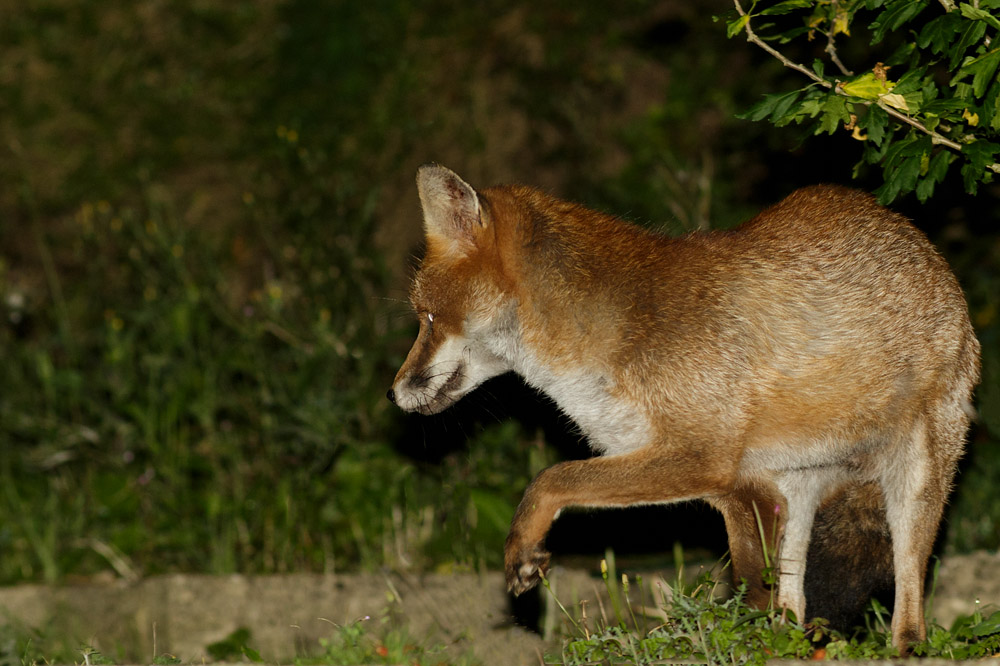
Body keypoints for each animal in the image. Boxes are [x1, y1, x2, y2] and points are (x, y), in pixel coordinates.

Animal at [386, 164, 980, 651]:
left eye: (428, 318)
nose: (393, 392)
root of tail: (911, 234)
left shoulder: (702, 456)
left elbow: (550, 477)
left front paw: (521, 550)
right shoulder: (742, 486)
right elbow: (759, 593)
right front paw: (760, 646)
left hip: (915, 487)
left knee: (911, 615)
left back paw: (905, 647)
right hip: (798, 491)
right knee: (796, 599)